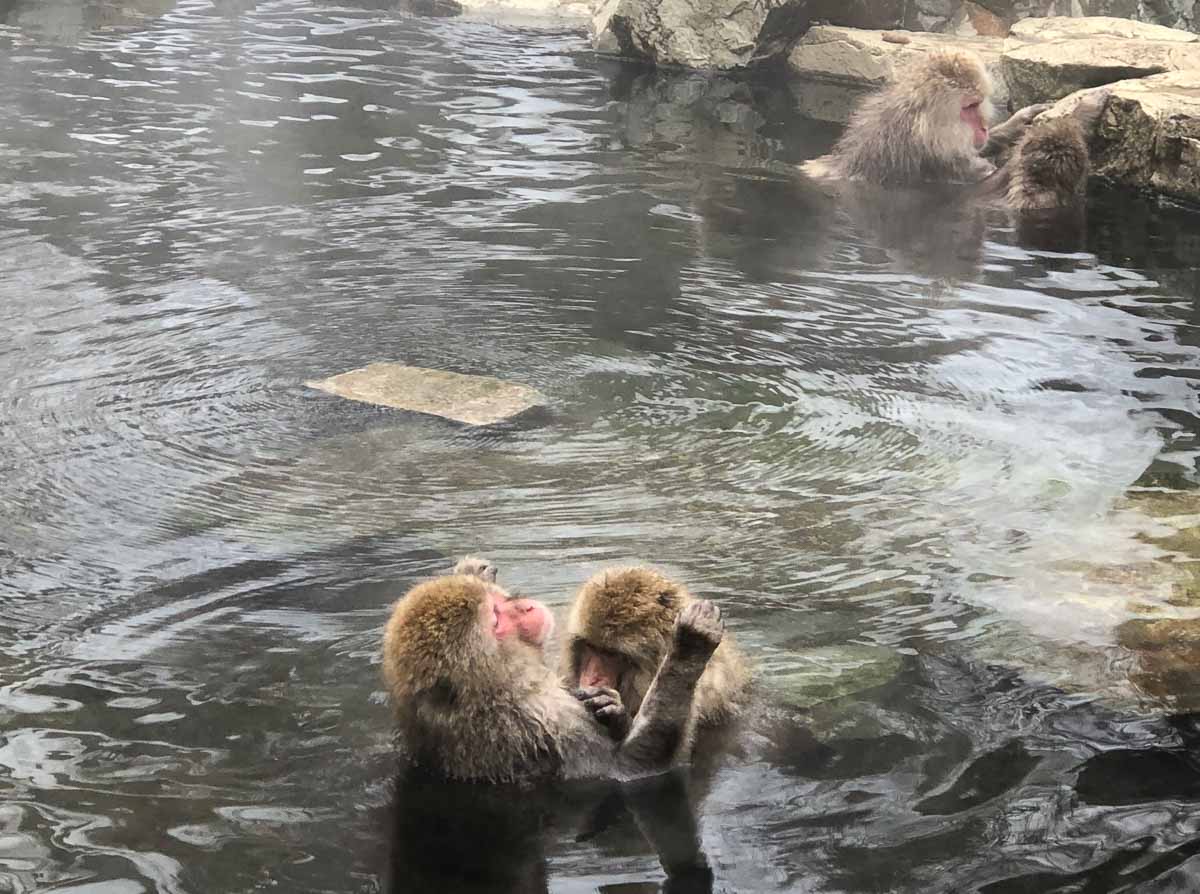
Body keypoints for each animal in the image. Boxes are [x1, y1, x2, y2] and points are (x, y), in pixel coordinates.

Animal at [384, 571, 720, 782]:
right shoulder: (545, 722)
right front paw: (689, 647)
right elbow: (632, 767)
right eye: (496, 619)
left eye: (497, 602)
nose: (525, 606)